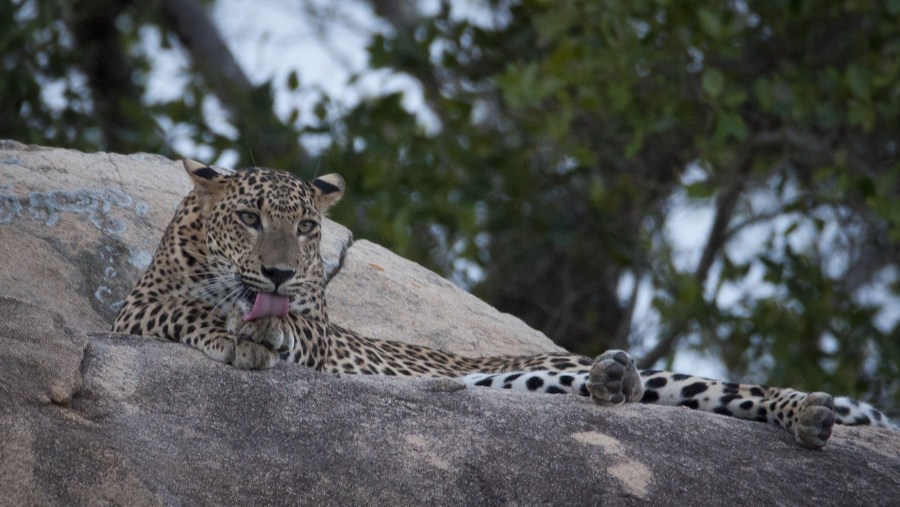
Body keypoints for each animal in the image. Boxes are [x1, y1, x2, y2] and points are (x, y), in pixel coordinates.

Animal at [112, 159, 892, 448]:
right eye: (248, 218)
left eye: (306, 227)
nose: (277, 272)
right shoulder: (136, 309)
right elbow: (193, 310)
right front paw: (235, 329)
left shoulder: (321, 333)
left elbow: (288, 326)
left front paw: (260, 333)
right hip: (524, 378)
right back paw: (613, 381)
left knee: (728, 389)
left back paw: (810, 414)